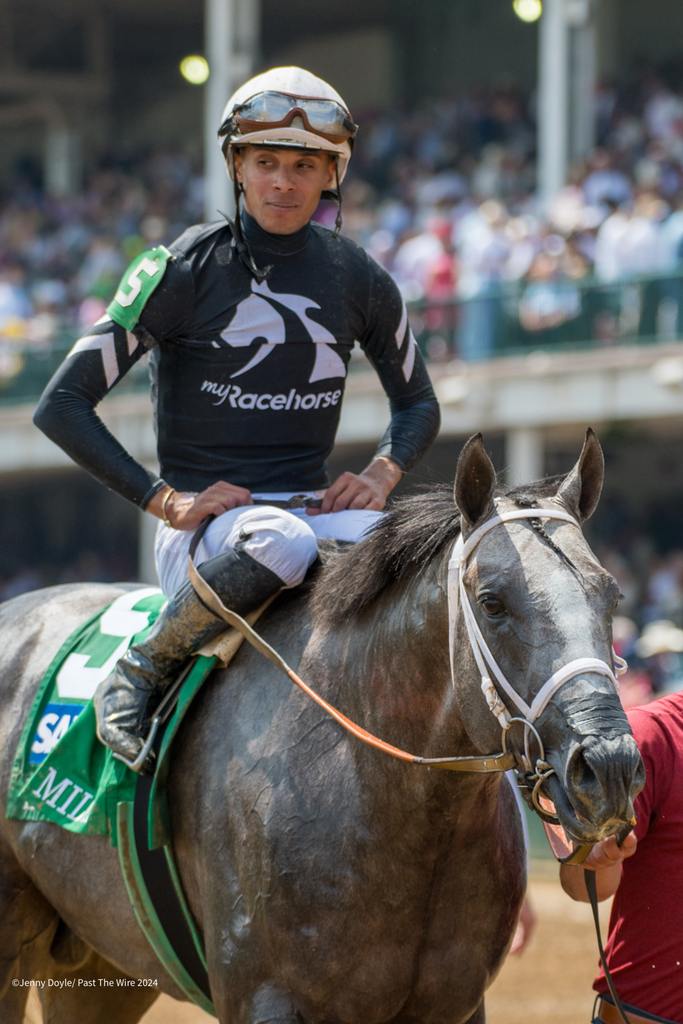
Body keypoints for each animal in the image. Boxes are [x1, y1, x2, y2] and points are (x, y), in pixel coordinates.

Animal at [0, 434, 643, 1024]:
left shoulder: (452, 1005)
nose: (608, 765)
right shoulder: (265, 999)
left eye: (612, 595)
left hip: (97, 963)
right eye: (491, 603)